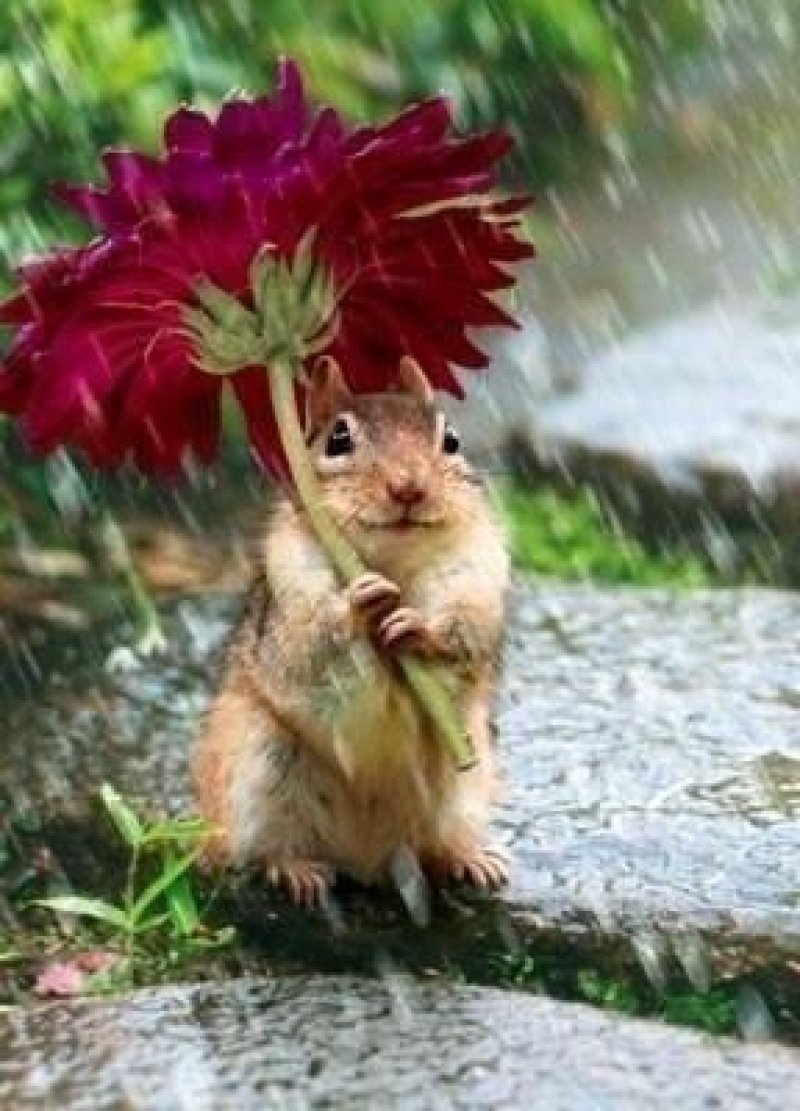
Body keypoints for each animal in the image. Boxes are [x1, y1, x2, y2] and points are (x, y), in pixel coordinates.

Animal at [193, 355, 510, 906]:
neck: (392, 564)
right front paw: (359, 605)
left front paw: (417, 628)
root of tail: (369, 859)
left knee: (438, 843)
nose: (409, 488)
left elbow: (465, 638)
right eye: (337, 440)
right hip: (255, 767)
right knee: (262, 847)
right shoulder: (292, 595)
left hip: (464, 788)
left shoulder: (476, 581)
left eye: (451, 440)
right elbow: (313, 647)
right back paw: (294, 870)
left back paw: (470, 858)